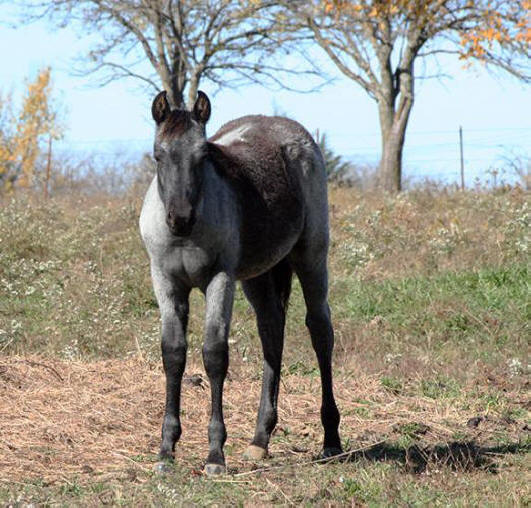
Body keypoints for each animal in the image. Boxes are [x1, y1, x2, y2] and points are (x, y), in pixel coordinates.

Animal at [139, 90, 342, 475]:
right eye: (158, 154)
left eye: (203, 155)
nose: (180, 218)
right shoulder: (165, 281)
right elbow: (173, 353)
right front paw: (166, 450)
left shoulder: (221, 280)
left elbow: (215, 354)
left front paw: (215, 455)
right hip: (259, 277)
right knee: (272, 334)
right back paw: (260, 439)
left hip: (310, 257)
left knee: (320, 331)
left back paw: (331, 439)